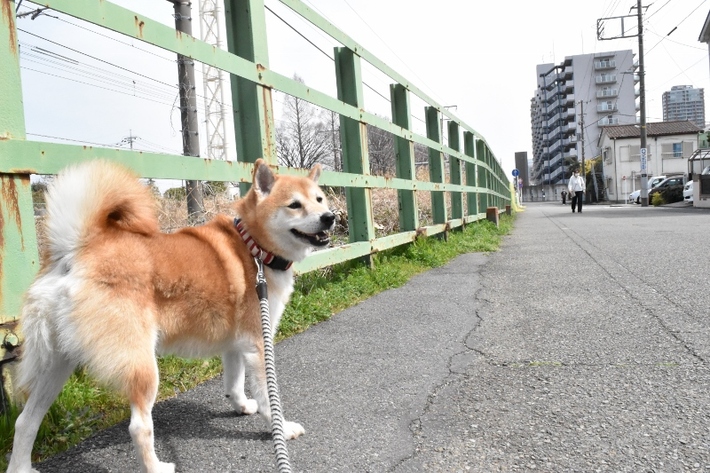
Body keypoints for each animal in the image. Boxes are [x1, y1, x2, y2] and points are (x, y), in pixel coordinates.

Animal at [7, 159, 336, 472]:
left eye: (319, 199)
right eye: (294, 205)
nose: (330, 217)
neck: (253, 248)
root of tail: (77, 250)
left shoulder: (236, 343)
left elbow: (234, 383)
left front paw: (241, 406)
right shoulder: (257, 344)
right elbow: (269, 397)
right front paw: (281, 429)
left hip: (57, 363)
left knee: (26, 420)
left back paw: (21, 467)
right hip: (142, 365)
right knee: (139, 427)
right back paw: (156, 467)